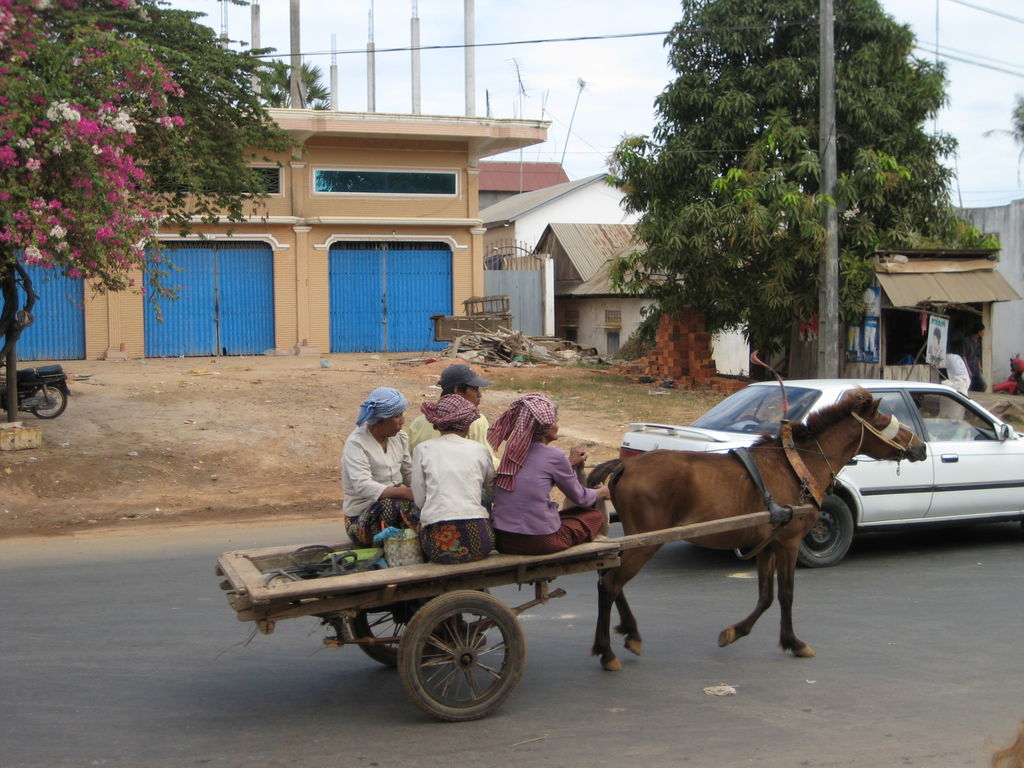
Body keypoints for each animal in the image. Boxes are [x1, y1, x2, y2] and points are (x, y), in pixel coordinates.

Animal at [587, 386, 927, 672]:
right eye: (883, 420)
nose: (921, 446)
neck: (797, 465)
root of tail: (625, 464)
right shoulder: (789, 542)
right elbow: (786, 594)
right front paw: (794, 643)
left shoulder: (766, 545)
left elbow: (766, 596)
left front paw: (734, 632)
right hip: (647, 542)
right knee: (611, 583)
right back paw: (607, 651)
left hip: (636, 540)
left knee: (610, 579)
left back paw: (629, 634)